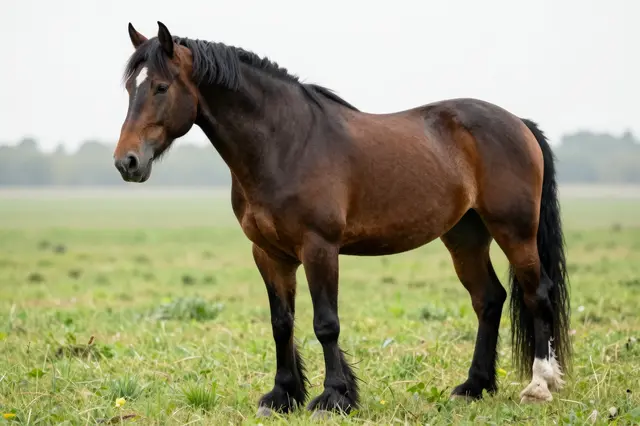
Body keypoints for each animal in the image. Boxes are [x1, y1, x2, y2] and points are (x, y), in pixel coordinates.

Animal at [113, 21, 571, 417]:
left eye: (160, 87)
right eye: (130, 88)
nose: (127, 162)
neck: (285, 144)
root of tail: (519, 124)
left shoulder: (319, 248)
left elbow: (325, 323)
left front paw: (334, 397)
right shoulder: (268, 253)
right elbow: (282, 322)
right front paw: (282, 395)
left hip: (515, 232)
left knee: (537, 294)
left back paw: (539, 385)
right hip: (465, 236)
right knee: (489, 299)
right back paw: (474, 387)